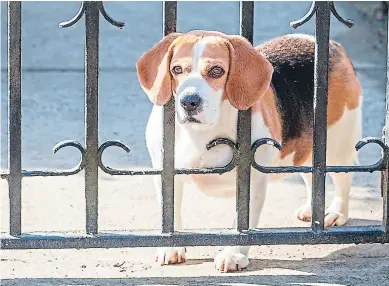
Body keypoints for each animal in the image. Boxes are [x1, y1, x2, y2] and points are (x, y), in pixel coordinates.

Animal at [136, 30, 360, 272]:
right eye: (177, 69)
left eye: (217, 70)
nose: (189, 102)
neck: (201, 133)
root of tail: (331, 45)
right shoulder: (166, 174)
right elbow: (171, 212)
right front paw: (172, 247)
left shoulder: (251, 180)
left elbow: (242, 223)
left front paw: (233, 255)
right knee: (312, 175)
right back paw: (312, 209)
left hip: (338, 145)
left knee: (344, 178)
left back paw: (336, 213)